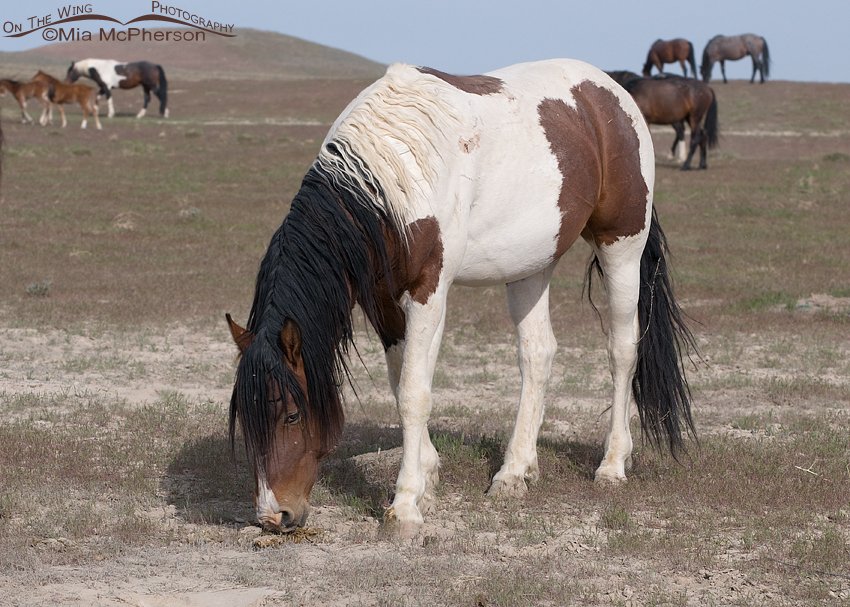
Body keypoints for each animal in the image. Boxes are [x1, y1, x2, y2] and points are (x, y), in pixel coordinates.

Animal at [226, 59, 697, 535]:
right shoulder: (383, 300)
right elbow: (400, 383)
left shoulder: (428, 292)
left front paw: (406, 504)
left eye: (291, 414)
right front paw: (429, 472)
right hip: (531, 266)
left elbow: (414, 392)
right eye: (246, 418)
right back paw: (515, 471)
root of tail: (609, 93)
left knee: (622, 351)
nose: (273, 515)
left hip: (621, 248)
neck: (389, 177)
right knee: (537, 354)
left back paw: (613, 463)